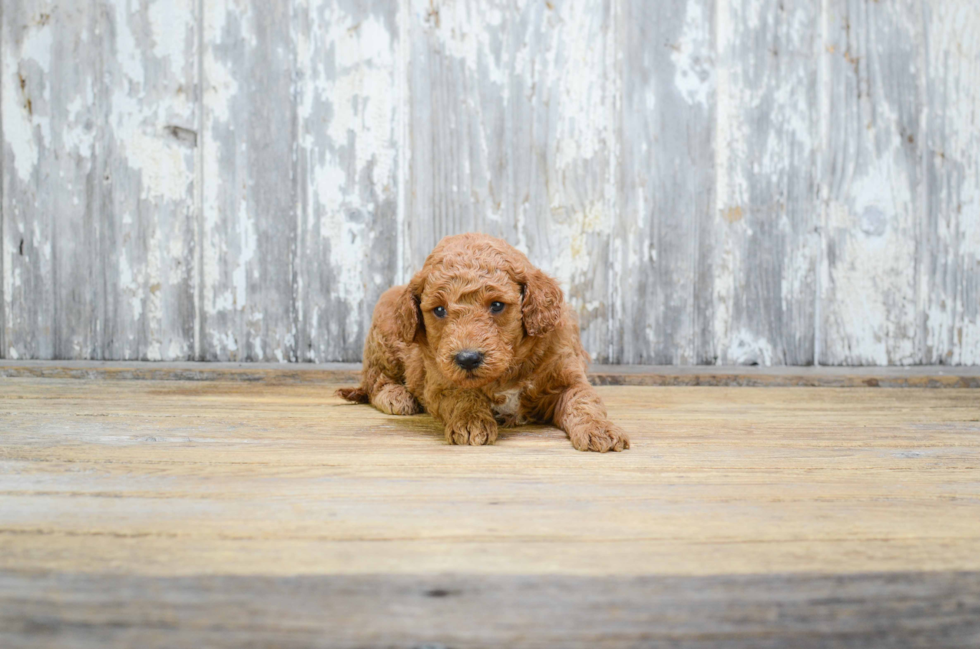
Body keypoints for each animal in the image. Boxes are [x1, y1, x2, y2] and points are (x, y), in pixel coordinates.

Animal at [336, 232, 628, 450]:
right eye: (439, 310)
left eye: (497, 305)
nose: (467, 359)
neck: (507, 370)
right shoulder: (439, 378)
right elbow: (461, 394)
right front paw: (471, 421)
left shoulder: (567, 374)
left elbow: (583, 401)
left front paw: (599, 429)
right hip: (386, 339)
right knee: (375, 379)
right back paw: (396, 396)